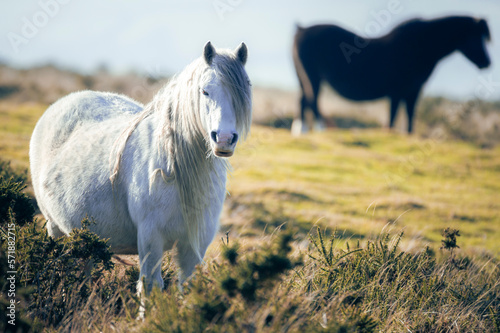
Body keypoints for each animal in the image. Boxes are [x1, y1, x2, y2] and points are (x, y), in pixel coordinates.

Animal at [29, 41, 252, 294]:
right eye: (205, 91)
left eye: (244, 90)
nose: (224, 139)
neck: (176, 169)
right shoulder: (150, 239)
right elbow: (150, 287)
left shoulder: (194, 245)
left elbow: (187, 287)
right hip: (54, 228)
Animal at [292, 15, 490, 134]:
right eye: (476, 37)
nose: (487, 63)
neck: (421, 46)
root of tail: (301, 29)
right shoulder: (398, 91)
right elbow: (394, 117)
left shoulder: (412, 91)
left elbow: (409, 117)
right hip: (312, 76)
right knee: (311, 100)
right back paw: (320, 129)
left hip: (303, 77)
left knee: (303, 100)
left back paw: (301, 130)